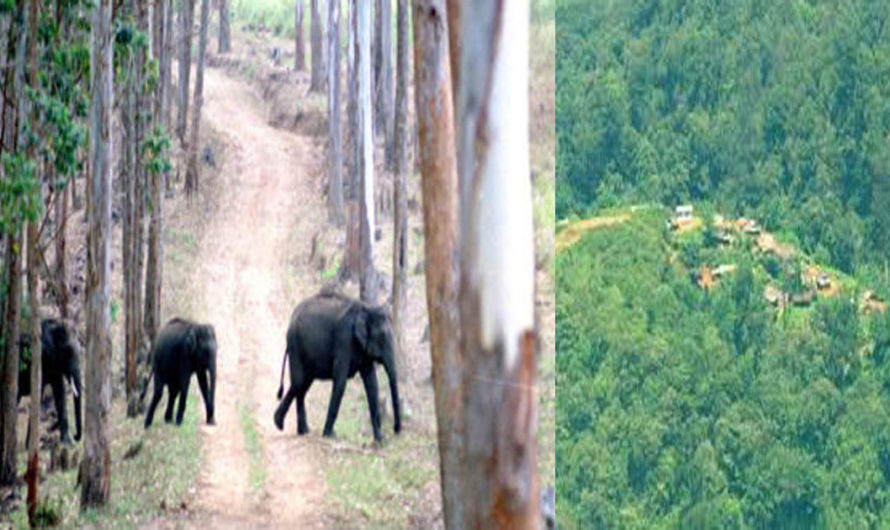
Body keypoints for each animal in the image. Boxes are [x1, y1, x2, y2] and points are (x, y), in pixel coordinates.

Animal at [16, 316, 82, 444]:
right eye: (67, 351)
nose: (76, 436)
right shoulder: (42, 359)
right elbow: (38, 393)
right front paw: (29, 446)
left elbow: (60, 392)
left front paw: (67, 443)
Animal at [268, 288, 398, 442]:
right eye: (383, 336)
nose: (396, 430)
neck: (366, 309)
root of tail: (292, 318)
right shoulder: (344, 339)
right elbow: (340, 381)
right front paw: (329, 435)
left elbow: (372, 383)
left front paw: (380, 439)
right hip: (295, 345)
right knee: (298, 383)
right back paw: (279, 423)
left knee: (303, 385)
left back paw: (303, 431)